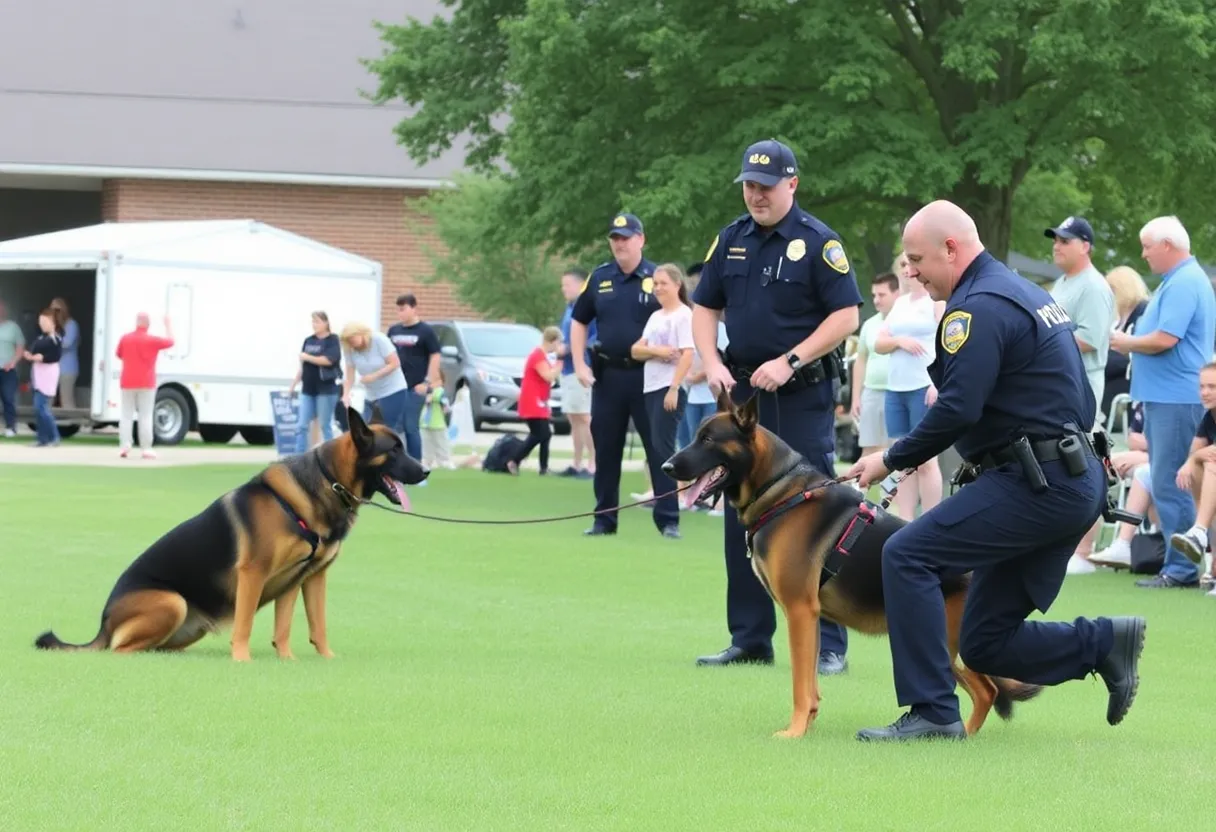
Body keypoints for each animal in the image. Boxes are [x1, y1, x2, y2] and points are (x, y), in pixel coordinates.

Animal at [33, 406, 428, 661]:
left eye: (404, 447)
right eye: (394, 450)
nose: (425, 471)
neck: (326, 482)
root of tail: (103, 624)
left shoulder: (305, 578)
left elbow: (302, 626)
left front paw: (302, 660)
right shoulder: (253, 573)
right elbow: (245, 624)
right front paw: (242, 660)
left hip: (187, 626)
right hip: (172, 602)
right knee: (120, 649)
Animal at [661, 386, 1040, 739]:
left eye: (708, 439)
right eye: (696, 436)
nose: (666, 467)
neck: (781, 491)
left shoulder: (800, 612)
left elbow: (799, 683)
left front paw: (794, 731)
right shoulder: (807, 618)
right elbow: (810, 684)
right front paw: (807, 725)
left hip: (949, 643)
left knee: (986, 687)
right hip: (953, 647)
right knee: (986, 690)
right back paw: (963, 734)